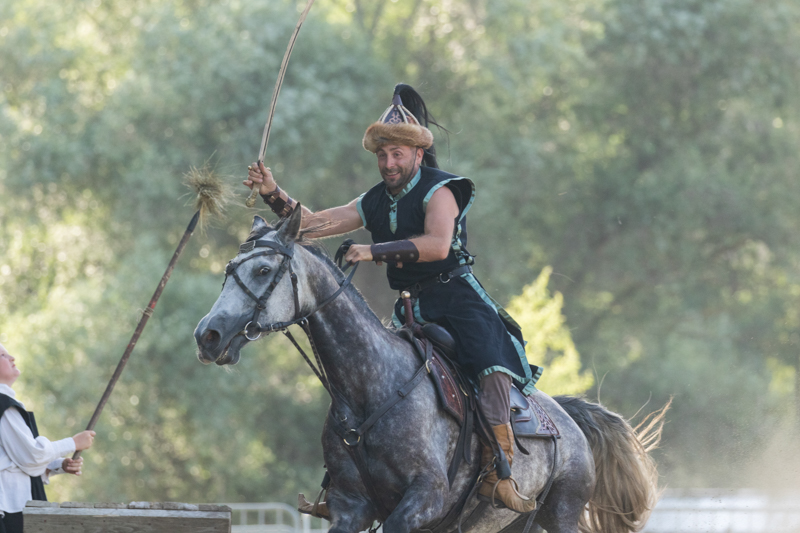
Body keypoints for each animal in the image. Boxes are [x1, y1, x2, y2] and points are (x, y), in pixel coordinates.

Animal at [194, 208, 666, 533]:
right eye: (228, 269)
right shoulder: (350, 506)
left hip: (561, 513)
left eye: (263, 269)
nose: (208, 335)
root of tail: (568, 419)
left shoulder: (424, 500)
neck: (370, 388)